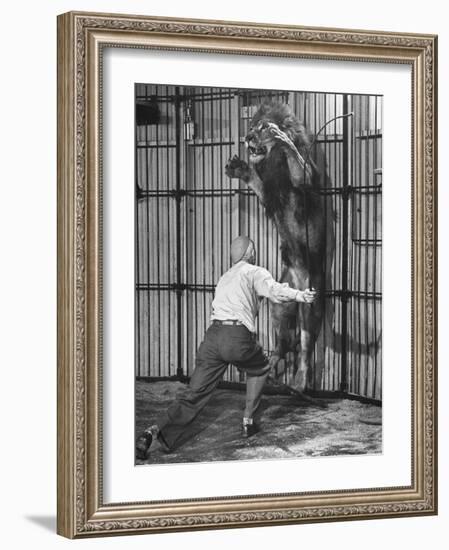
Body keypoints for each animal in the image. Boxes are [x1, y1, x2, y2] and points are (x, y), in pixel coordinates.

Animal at [226, 101, 330, 394]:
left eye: (262, 128)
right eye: (251, 127)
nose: (248, 137)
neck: (273, 162)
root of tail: (296, 280)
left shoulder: (307, 178)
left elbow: (300, 166)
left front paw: (283, 139)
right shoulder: (269, 192)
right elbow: (257, 183)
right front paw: (241, 170)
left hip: (309, 300)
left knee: (305, 346)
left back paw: (299, 382)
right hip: (279, 305)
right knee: (282, 345)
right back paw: (269, 368)